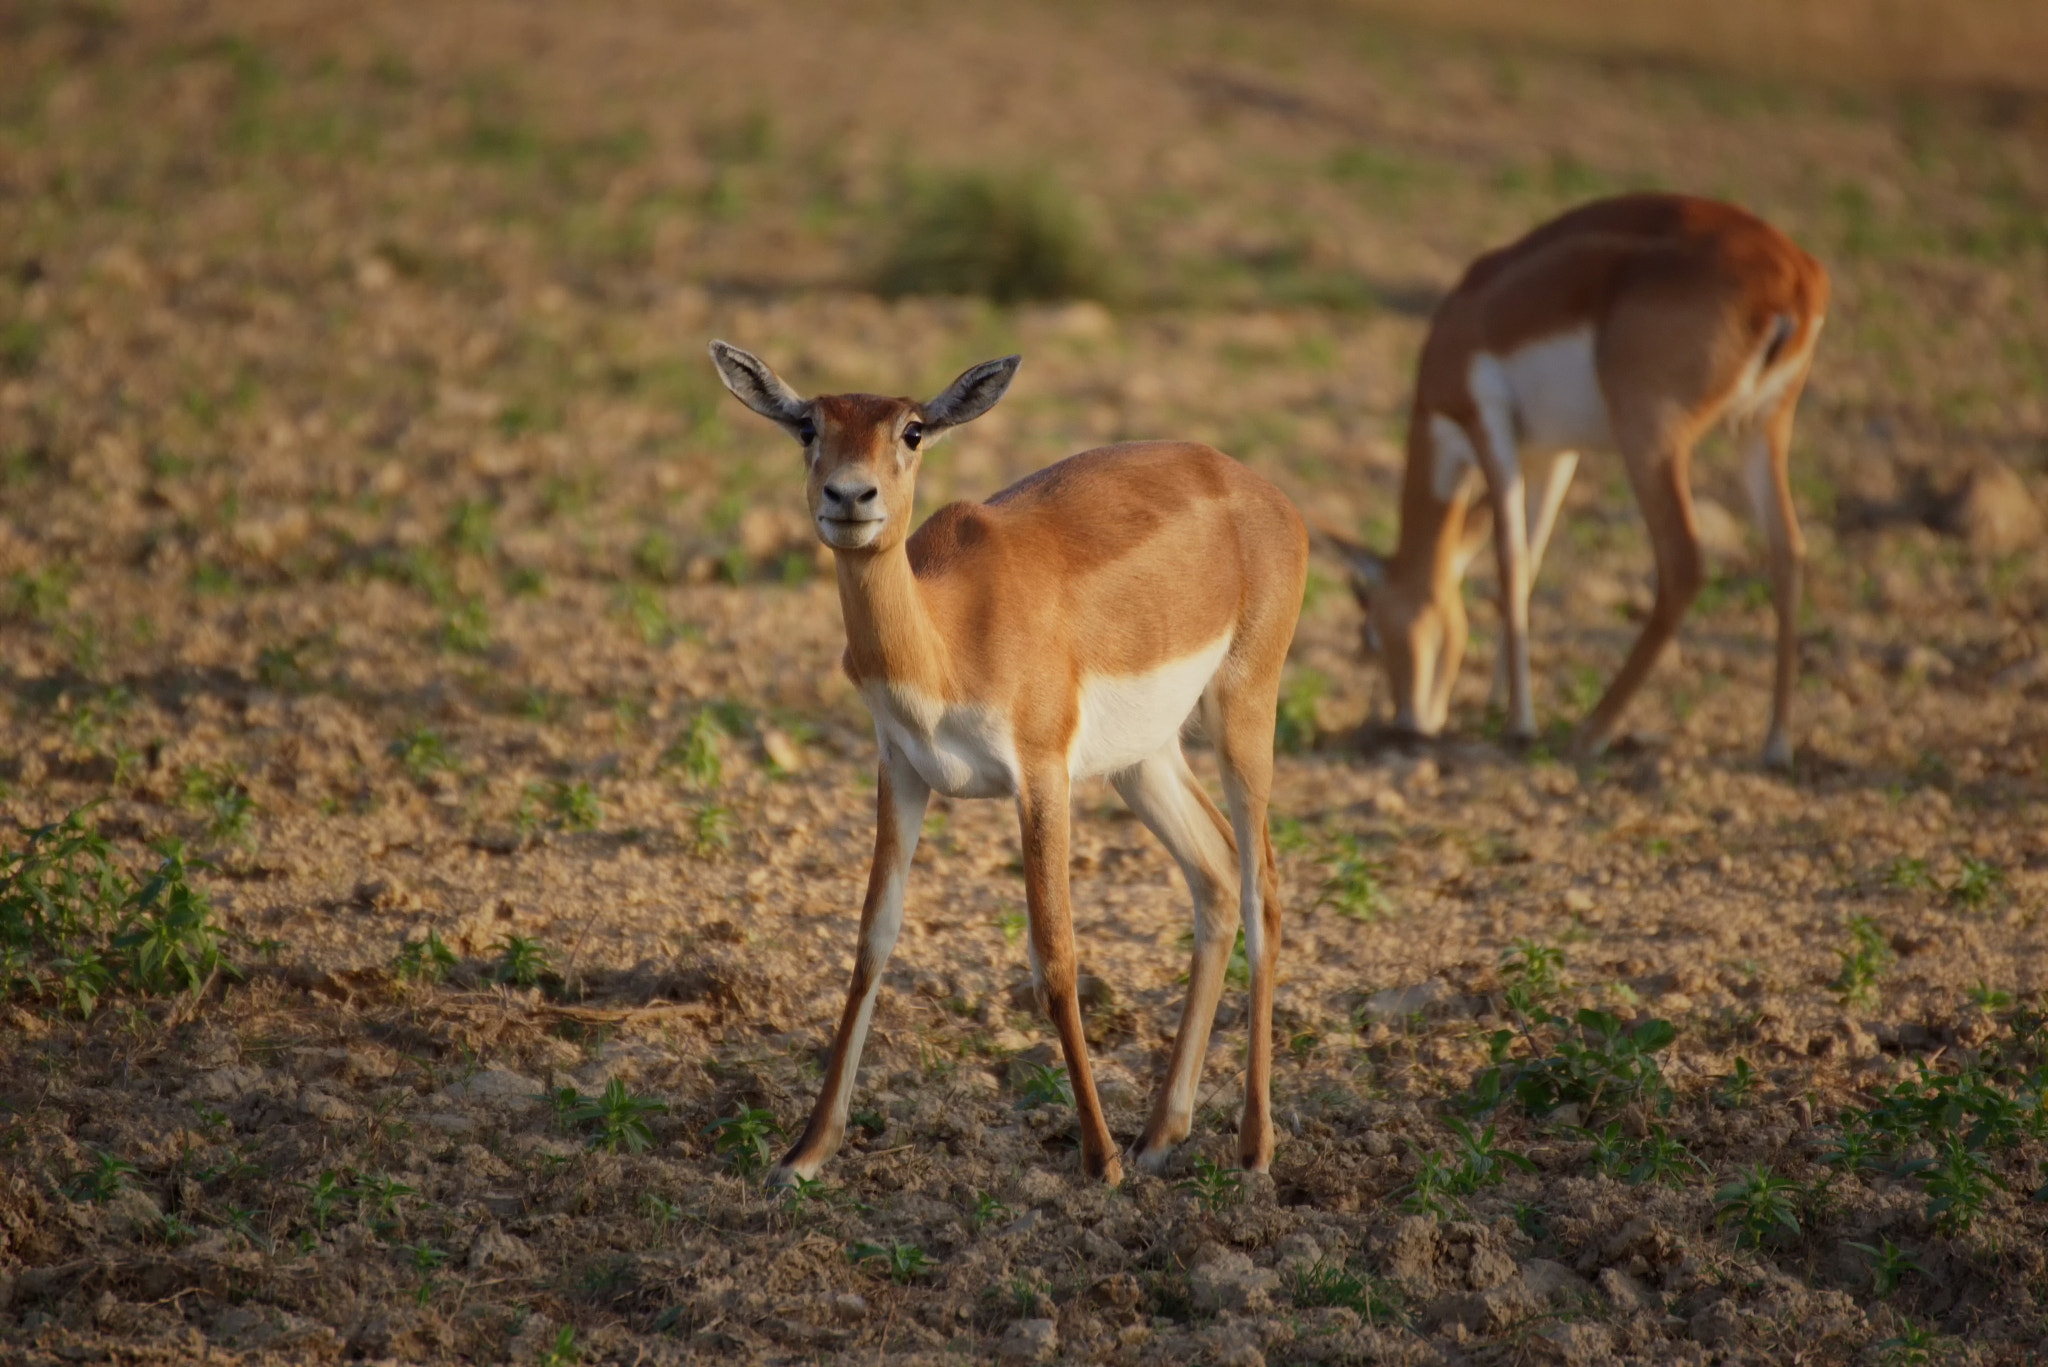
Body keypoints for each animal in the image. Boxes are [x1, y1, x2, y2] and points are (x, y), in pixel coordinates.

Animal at [712, 342, 1302, 1188]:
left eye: (912, 429)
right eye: (807, 425)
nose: (849, 496)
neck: (945, 633)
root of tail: (1258, 488)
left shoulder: (1041, 772)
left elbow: (1054, 954)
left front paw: (1099, 1157)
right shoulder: (902, 768)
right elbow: (872, 940)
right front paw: (806, 1151)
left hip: (1244, 712)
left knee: (1263, 890)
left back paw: (1253, 1149)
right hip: (1144, 759)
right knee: (1217, 874)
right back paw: (1161, 1133)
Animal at [1327, 193, 1826, 770]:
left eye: (1369, 635)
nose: (1407, 723)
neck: (1465, 321)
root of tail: (1796, 278)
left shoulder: (1488, 425)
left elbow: (1510, 561)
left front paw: (1520, 723)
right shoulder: (1555, 454)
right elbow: (1534, 557)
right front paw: (1497, 701)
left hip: (1650, 435)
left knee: (1684, 561)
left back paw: (1591, 733)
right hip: (1763, 428)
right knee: (1788, 551)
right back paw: (1777, 745)